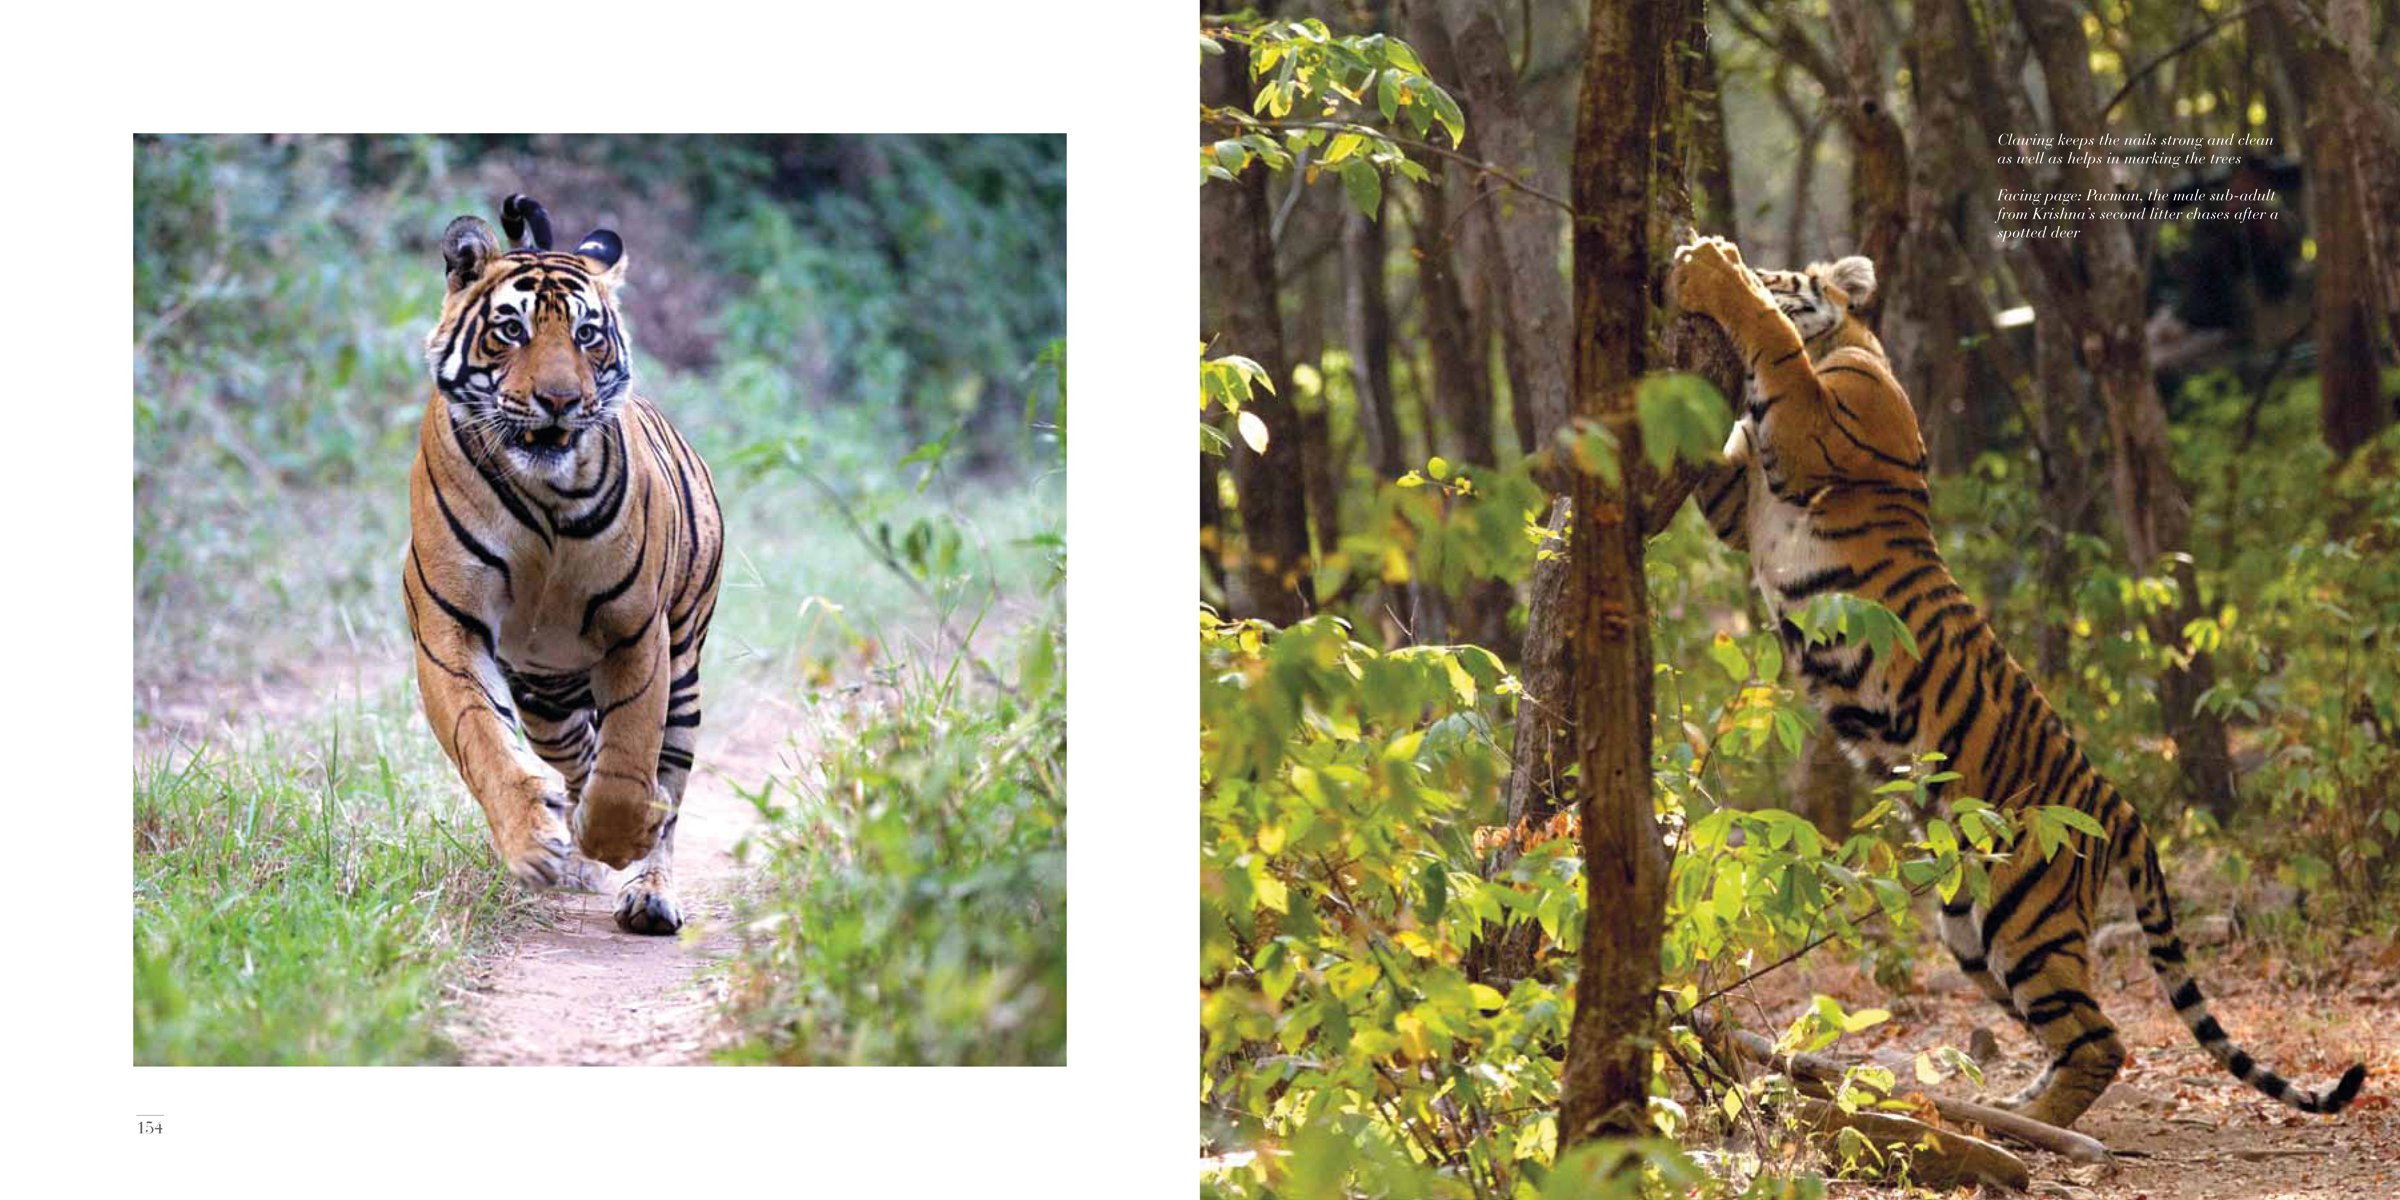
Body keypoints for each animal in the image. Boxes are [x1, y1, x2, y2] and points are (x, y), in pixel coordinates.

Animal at [405, 192, 720, 931]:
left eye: (587, 335)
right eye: (511, 329)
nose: (559, 401)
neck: (543, 498)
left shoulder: (638, 632)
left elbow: (632, 750)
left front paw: (616, 837)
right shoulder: (447, 629)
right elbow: (482, 741)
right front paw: (535, 843)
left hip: (684, 665)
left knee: (663, 775)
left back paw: (649, 892)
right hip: (546, 695)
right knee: (576, 755)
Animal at [1670, 231, 2361, 1123]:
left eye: (1779, 268)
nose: (1744, 255)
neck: (1849, 344)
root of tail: (2120, 807)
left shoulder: (1807, 427)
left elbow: (1773, 339)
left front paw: (1713, 268)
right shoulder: (1739, 498)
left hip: (2022, 915)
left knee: (2104, 1040)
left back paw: (2033, 1127)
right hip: (1971, 932)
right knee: (2071, 1032)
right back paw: (2017, 1105)